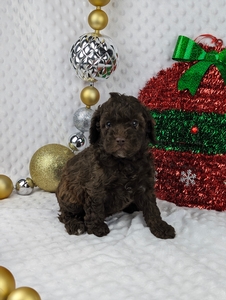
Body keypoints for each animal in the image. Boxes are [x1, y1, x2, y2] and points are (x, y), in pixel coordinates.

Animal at [55, 94, 176, 239]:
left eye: (134, 123)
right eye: (108, 124)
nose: (120, 140)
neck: (124, 162)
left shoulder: (145, 184)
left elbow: (152, 207)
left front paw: (160, 227)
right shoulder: (96, 187)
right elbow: (95, 207)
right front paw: (96, 227)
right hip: (70, 195)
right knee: (65, 214)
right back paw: (75, 225)